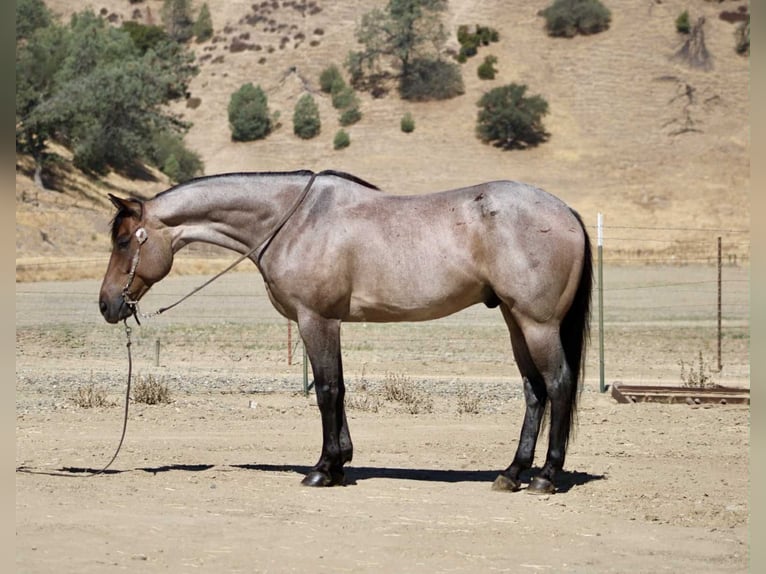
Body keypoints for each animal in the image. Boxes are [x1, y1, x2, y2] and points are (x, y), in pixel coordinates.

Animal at [99, 169, 592, 493]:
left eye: (123, 241)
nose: (106, 305)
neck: (294, 221)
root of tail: (565, 211)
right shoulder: (328, 323)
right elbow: (336, 387)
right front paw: (340, 463)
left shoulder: (315, 319)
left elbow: (326, 391)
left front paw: (322, 469)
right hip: (514, 319)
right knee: (533, 390)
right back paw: (512, 473)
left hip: (537, 323)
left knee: (558, 384)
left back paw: (546, 477)